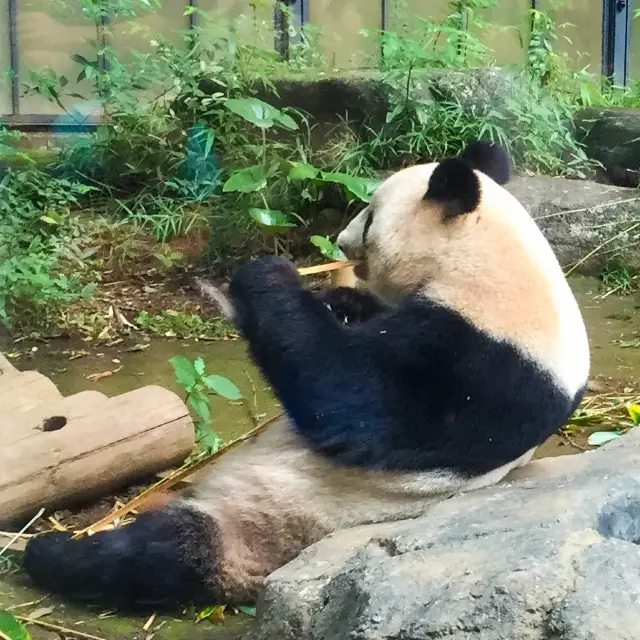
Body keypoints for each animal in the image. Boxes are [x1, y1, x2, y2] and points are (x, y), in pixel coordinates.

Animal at [21, 140, 592, 608]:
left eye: (369, 214)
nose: (339, 240)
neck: (489, 266)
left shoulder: (482, 366)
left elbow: (350, 398)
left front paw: (269, 275)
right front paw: (340, 300)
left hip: (272, 522)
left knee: (166, 553)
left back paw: (52, 553)